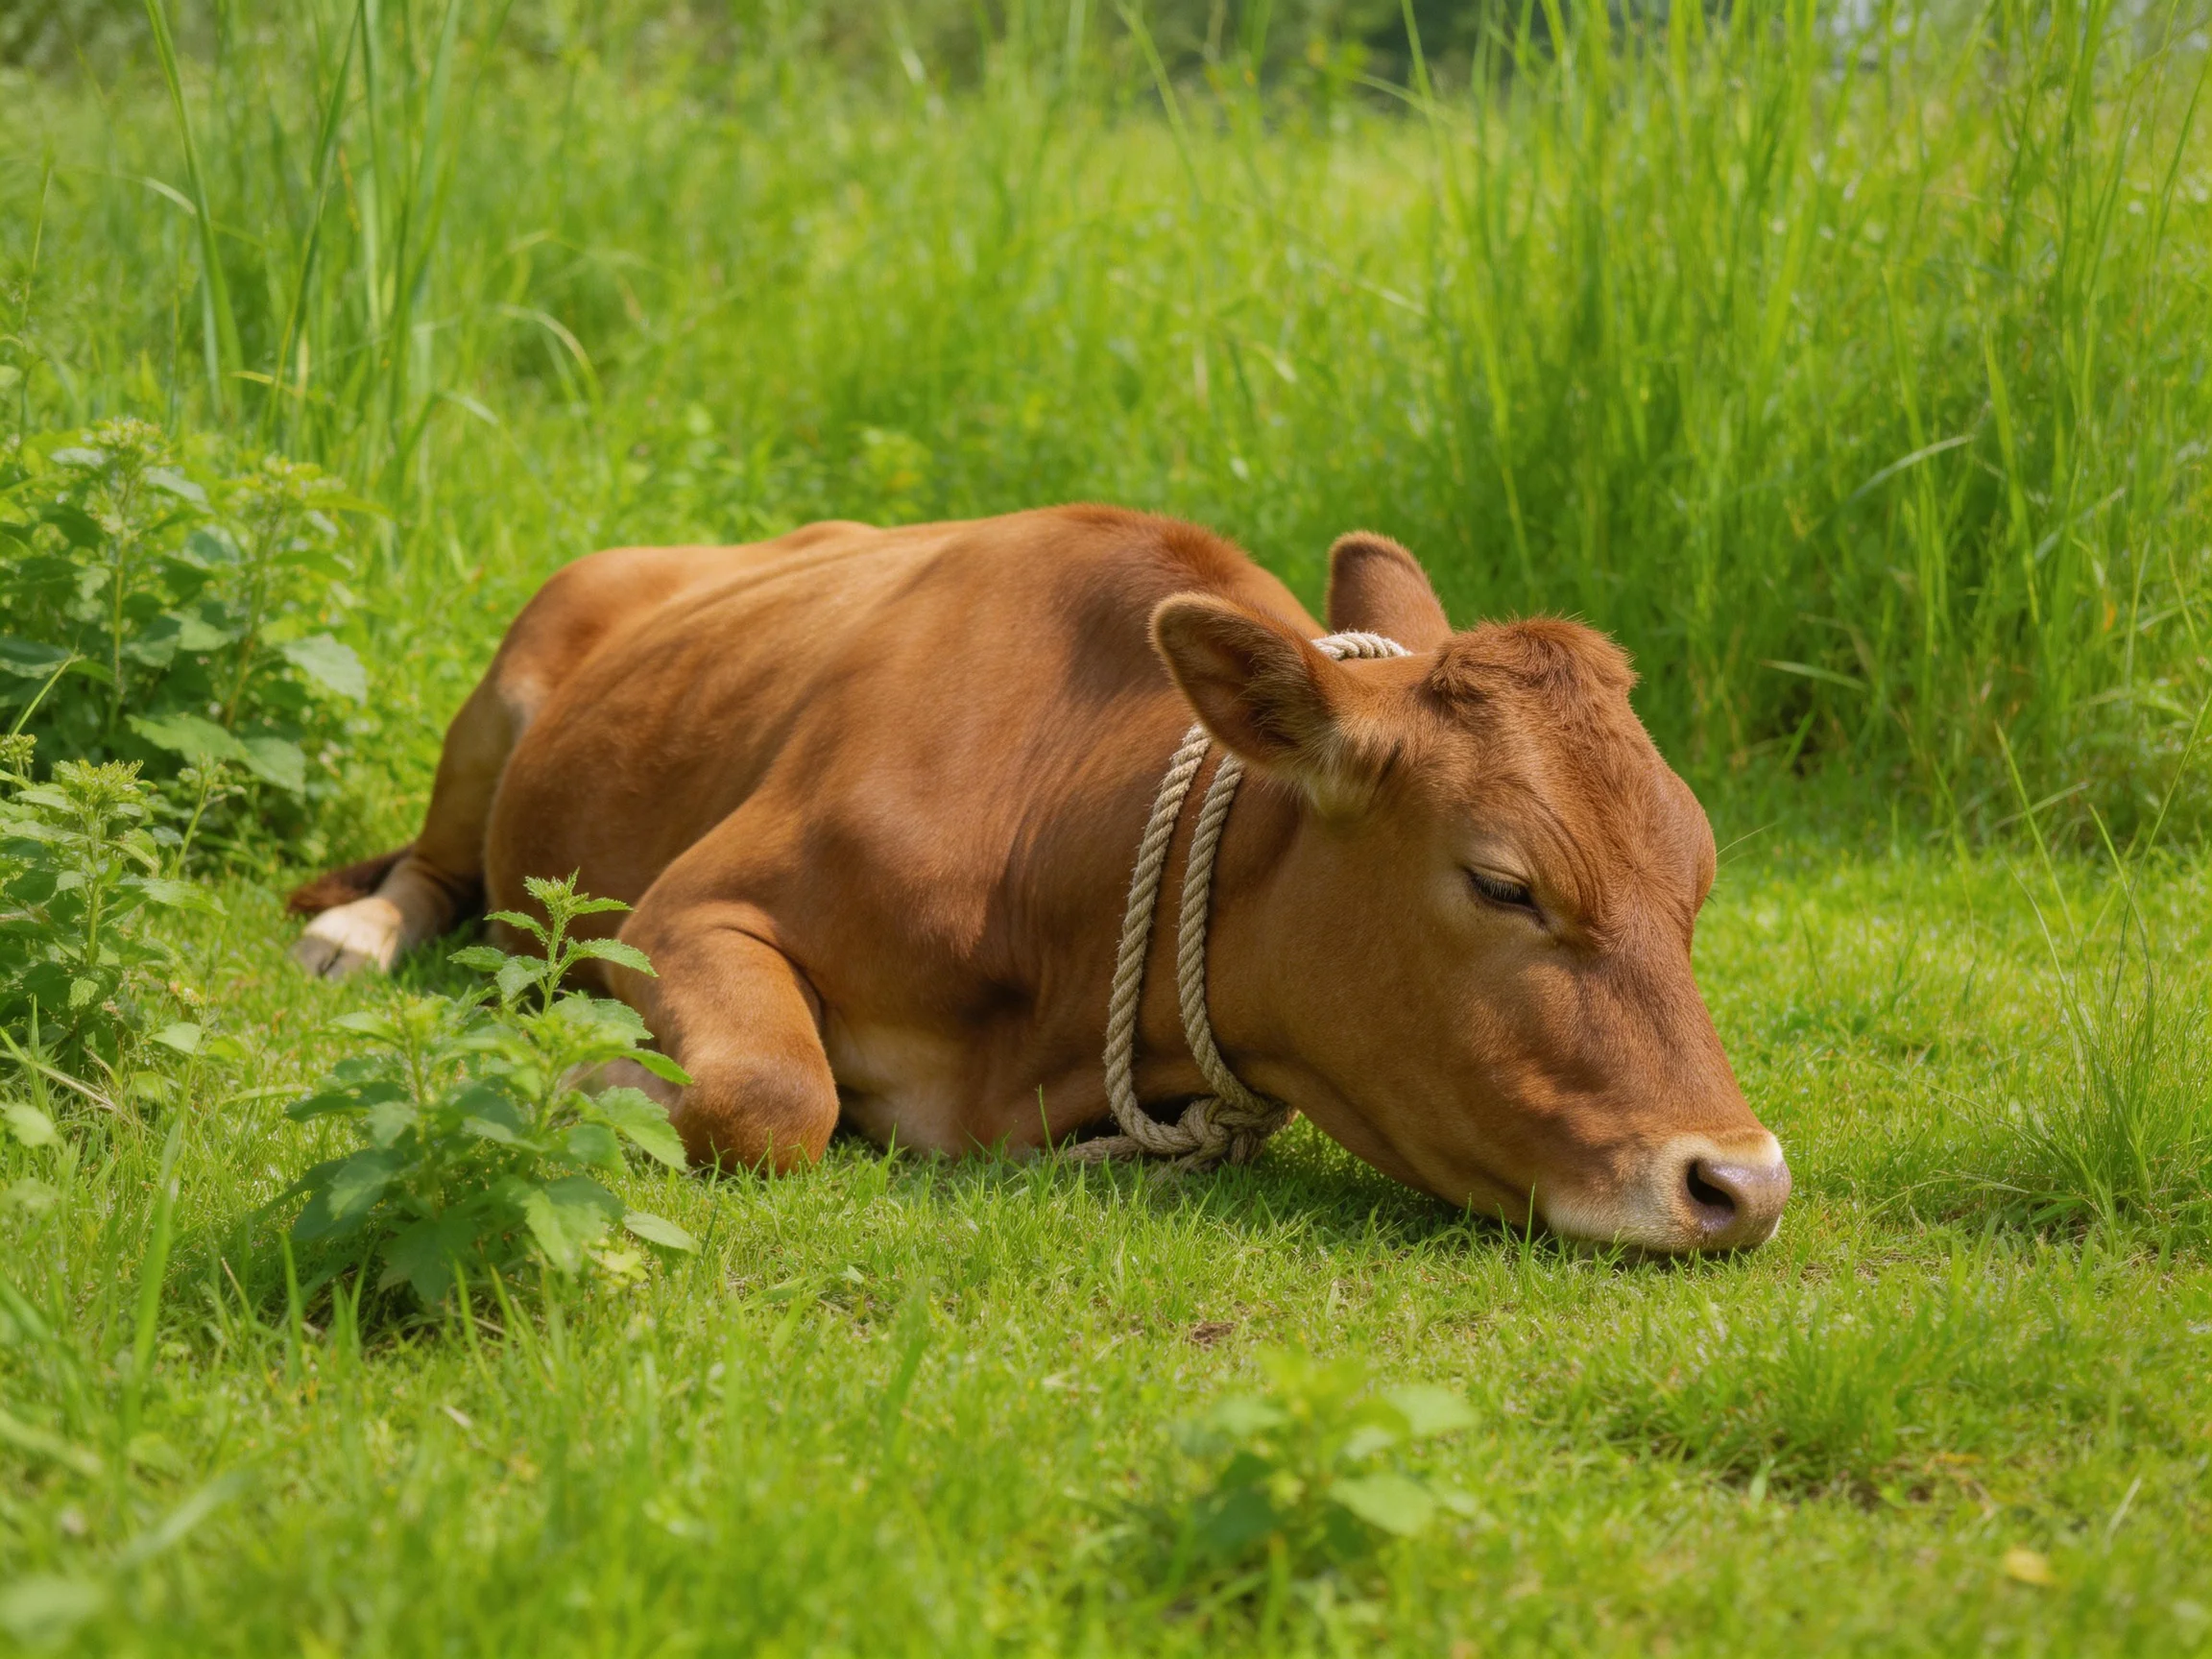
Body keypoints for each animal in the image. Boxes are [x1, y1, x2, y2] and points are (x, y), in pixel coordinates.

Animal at [289, 507, 1789, 1252]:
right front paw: (594, 1075)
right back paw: (356, 936)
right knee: (433, 871)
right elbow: (776, 1095)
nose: (1741, 1186)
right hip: (498, 707)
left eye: (1698, 884)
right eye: (1503, 884)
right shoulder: (691, 906)